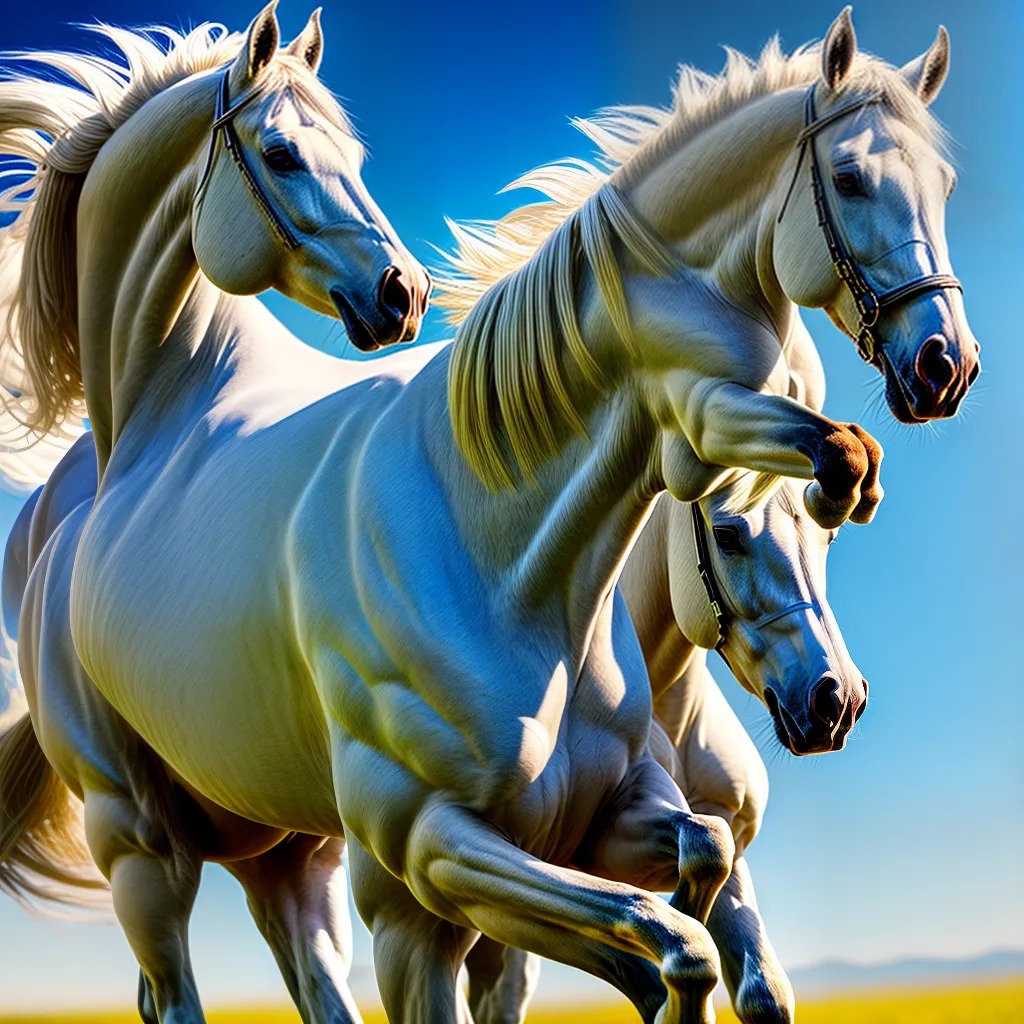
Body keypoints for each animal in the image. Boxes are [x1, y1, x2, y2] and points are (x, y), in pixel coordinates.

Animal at [0, 6, 973, 1024]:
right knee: (174, 986)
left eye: (942, 185)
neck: (504, 561)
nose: (944, 366)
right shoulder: (424, 863)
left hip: (290, 860)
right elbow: (666, 932)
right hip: (142, 850)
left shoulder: (603, 817)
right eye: (852, 177)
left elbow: (695, 895)